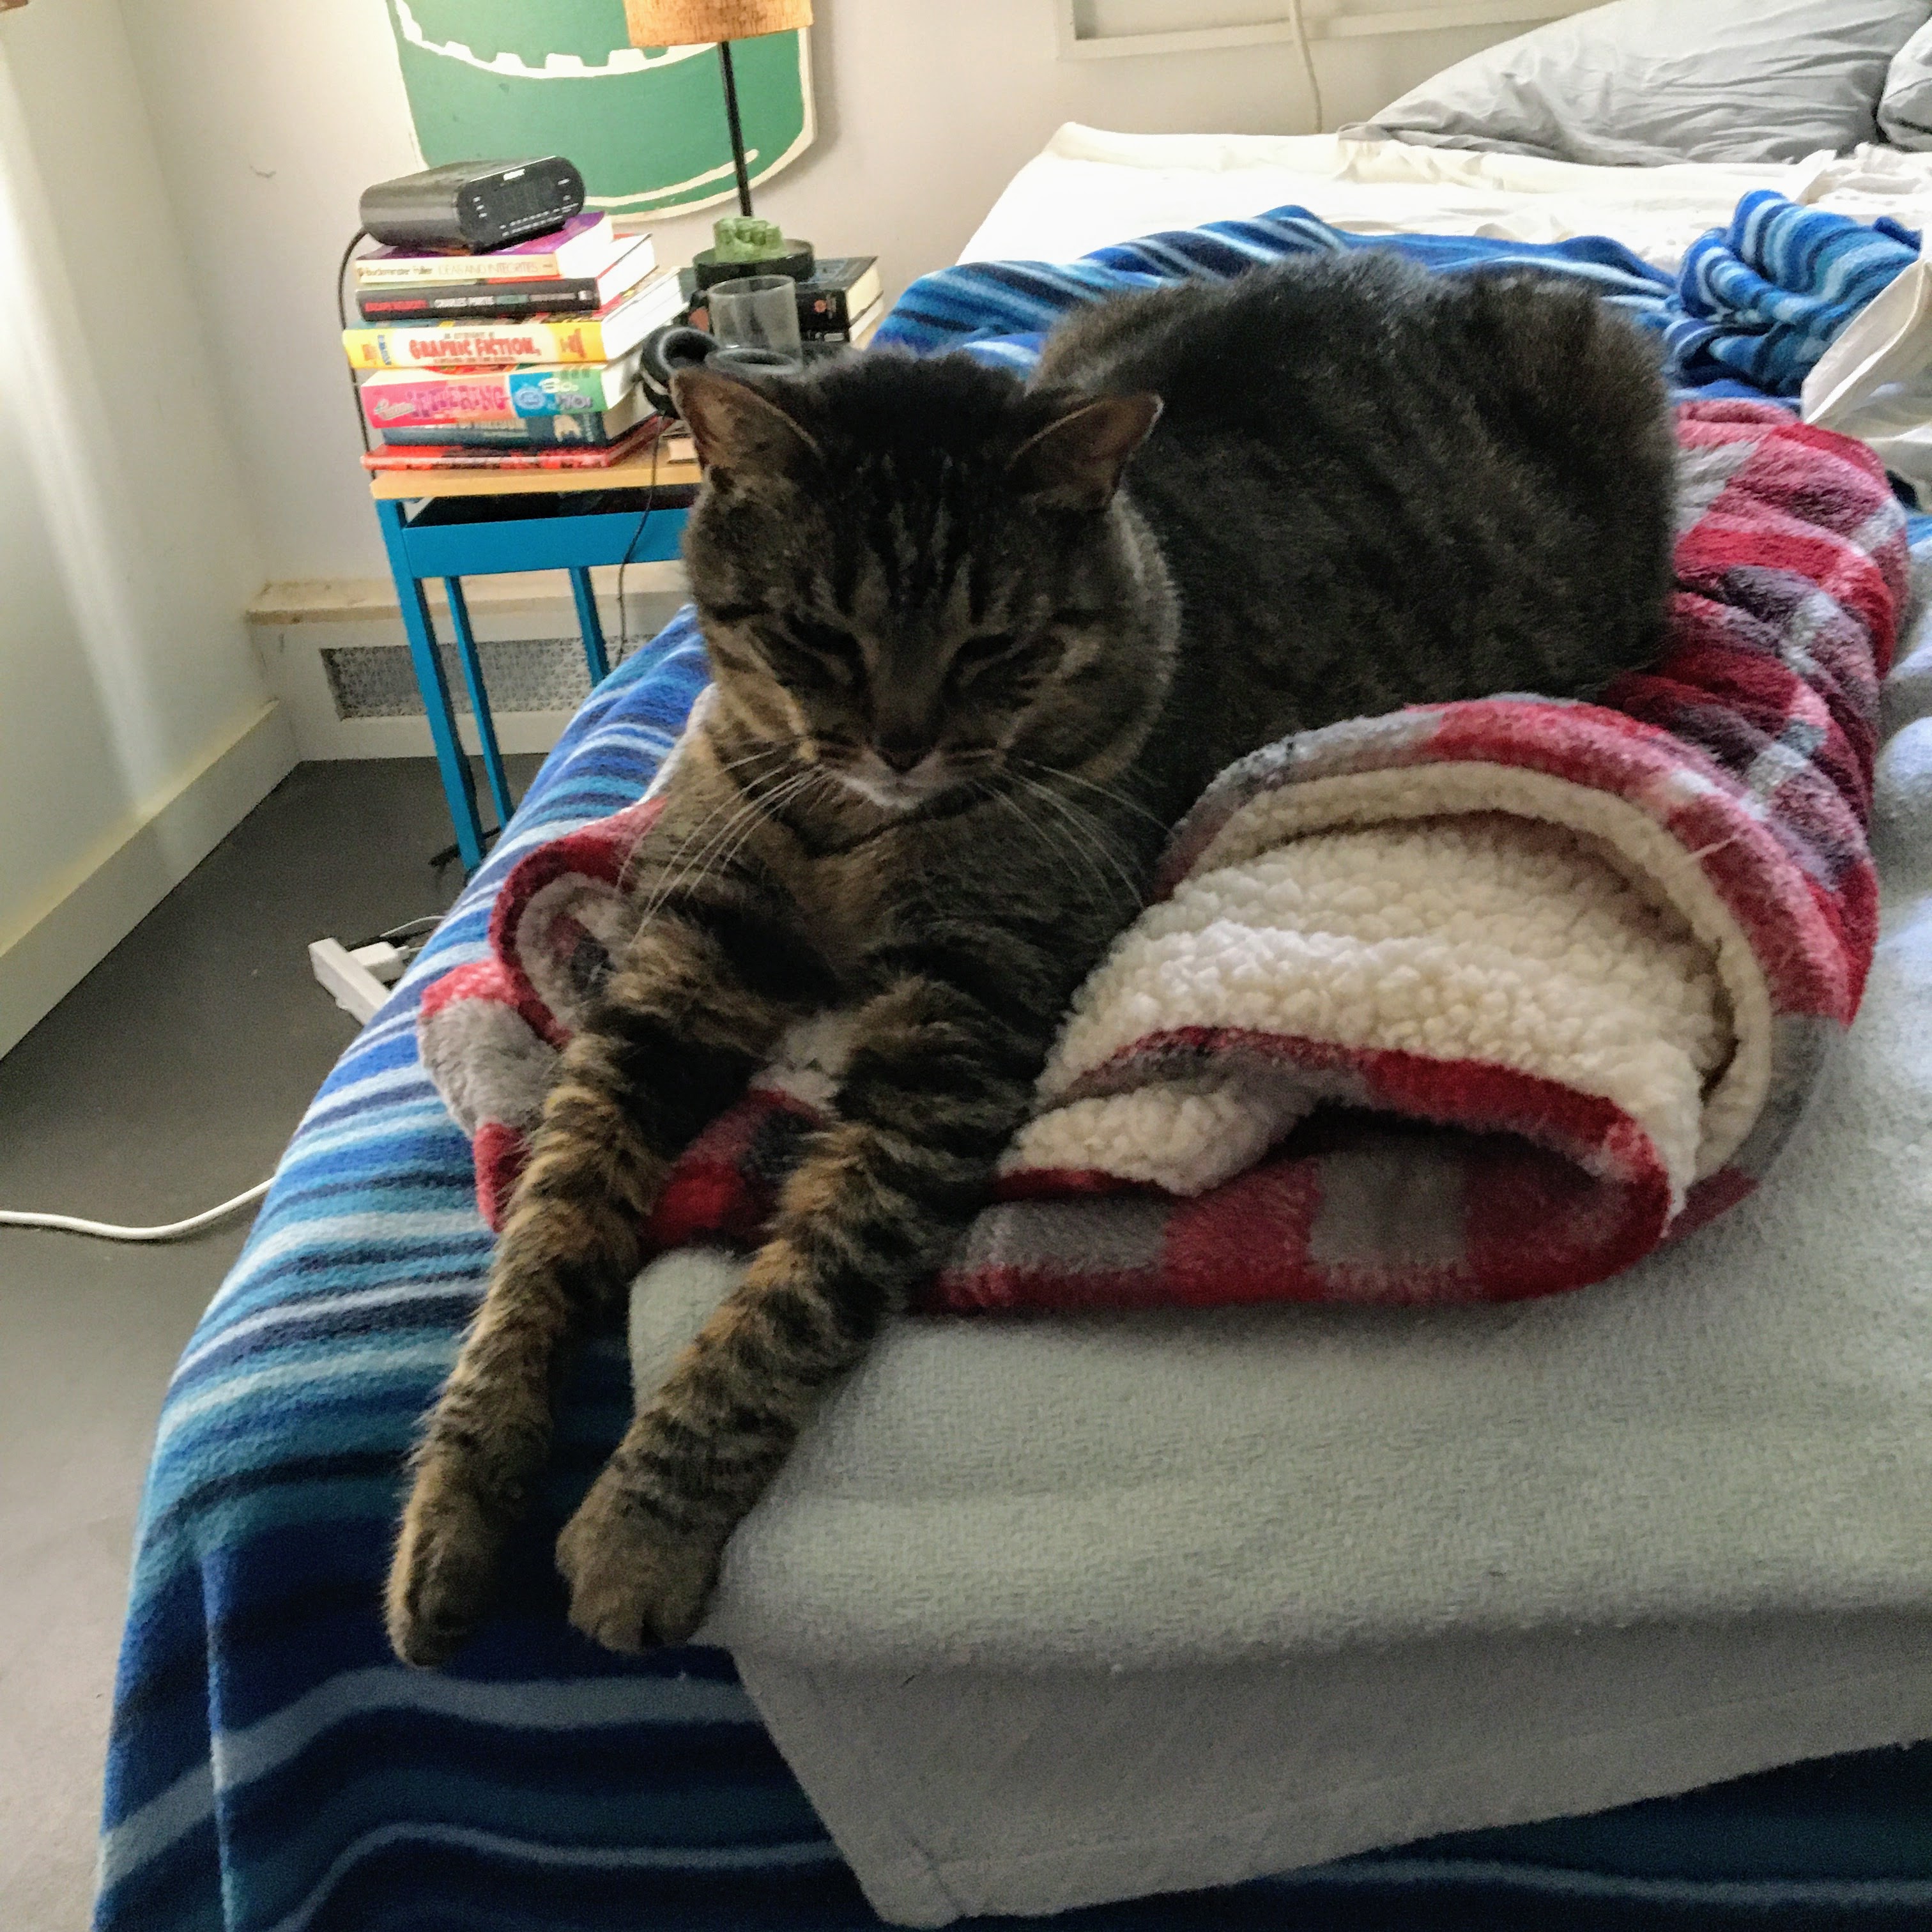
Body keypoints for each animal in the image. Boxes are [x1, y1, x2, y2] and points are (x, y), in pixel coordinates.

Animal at [380, 253, 1676, 1661]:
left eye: (992, 645)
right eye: (815, 635)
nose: (898, 744)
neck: (855, 829)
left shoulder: (958, 1030)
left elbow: (787, 1304)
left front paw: (637, 1527)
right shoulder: (679, 970)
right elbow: (546, 1232)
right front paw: (453, 1509)